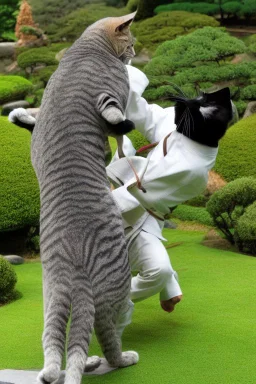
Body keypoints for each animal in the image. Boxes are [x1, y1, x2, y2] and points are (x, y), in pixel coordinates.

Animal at [32, 11, 139, 384]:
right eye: (130, 41)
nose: (135, 52)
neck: (85, 49)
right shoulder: (117, 96)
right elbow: (118, 130)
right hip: (118, 296)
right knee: (109, 341)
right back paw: (120, 359)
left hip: (52, 299)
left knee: (54, 349)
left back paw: (68, 368)